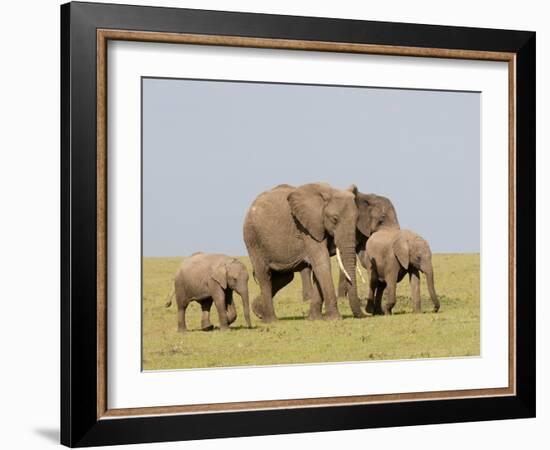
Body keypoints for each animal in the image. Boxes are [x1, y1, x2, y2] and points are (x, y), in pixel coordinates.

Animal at [244, 181, 364, 322]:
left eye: (357, 219)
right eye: (335, 219)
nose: (362, 315)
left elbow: (318, 267)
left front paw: (315, 319)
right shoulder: (306, 227)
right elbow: (322, 262)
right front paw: (334, 319)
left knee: (284, 276)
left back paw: (259, 312)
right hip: (253, 239)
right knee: (263, 274)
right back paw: (271, 321)